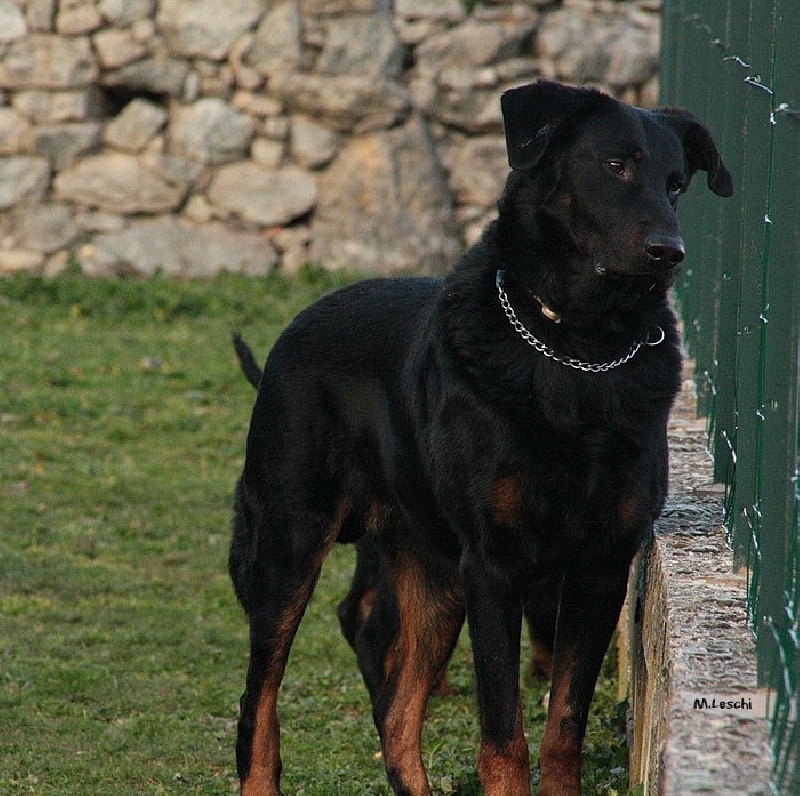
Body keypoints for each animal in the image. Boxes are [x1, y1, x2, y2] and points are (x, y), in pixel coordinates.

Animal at [230, 82, 732, 796]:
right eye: (616, 165)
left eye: (676, 183)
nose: (670, 251)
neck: (576, 347)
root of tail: (296, 326)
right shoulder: (494, 566)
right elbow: (503, 736)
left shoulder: (600, 564)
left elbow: (563, 726)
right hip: (289, 545)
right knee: (260, 701)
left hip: (433, 574)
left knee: (397, 714)